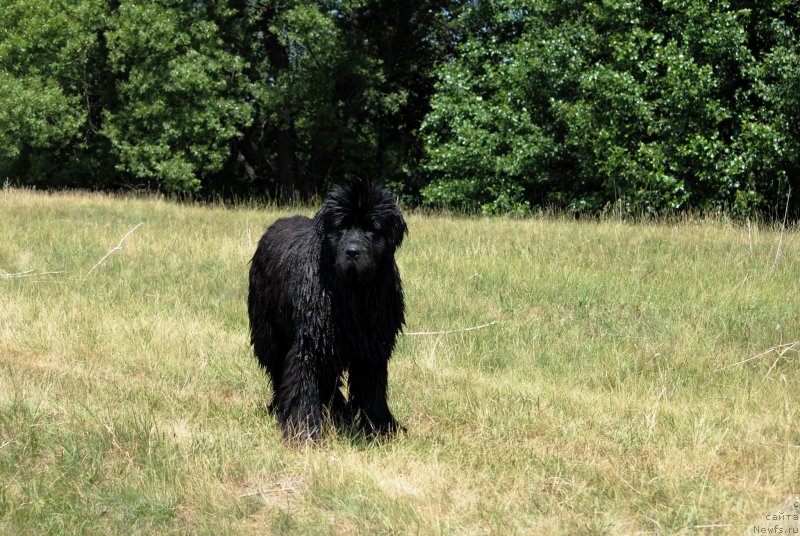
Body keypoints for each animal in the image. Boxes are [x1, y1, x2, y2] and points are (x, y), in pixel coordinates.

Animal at [248, 180, 406, 440]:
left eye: (372, 228)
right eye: (341, 226)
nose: (352, 251)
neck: (352, 295)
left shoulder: (373, 345)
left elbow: (372, 389)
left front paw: (380, 428)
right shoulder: (310, 342)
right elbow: (303, 386)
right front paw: (303, 432)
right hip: (269, 331)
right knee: (278, 369)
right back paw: (279, 408)